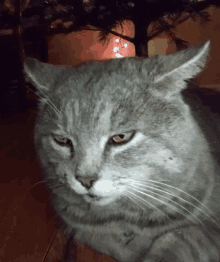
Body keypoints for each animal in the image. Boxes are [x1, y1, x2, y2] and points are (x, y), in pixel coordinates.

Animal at [24, 40, 220, 260]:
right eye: (62, 140)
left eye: (121, 137)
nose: (85, 180)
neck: (124, 219)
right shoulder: (85, 228)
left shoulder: (209, 229)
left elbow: (179, 240)